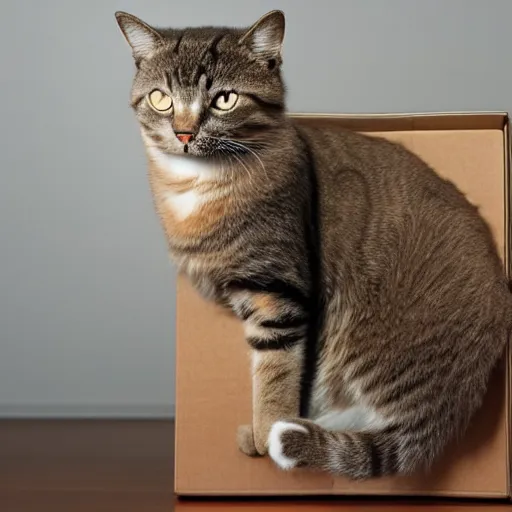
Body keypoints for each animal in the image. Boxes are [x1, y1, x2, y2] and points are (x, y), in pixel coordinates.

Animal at [116, 9, 512, 480]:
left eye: (225, 99)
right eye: (161, 99)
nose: (183, 134)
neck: (199, 183)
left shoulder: (278, 291)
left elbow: (276, 371)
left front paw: (267, 427)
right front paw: (260, 431)